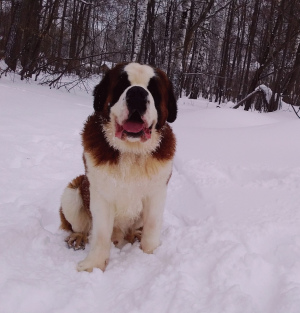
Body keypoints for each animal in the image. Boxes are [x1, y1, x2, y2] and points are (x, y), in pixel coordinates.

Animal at [59, 61, 176, 270]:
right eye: (122, 85)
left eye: (153, 90)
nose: (137, 93)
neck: (131, 152)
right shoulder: (101, 195)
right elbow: (100, 234)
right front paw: (93, 265)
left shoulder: (156, 193)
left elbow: (152, 226)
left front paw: (150, 254)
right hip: (73, 191)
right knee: (81, 225)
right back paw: (78, 237)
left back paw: (136, 234)